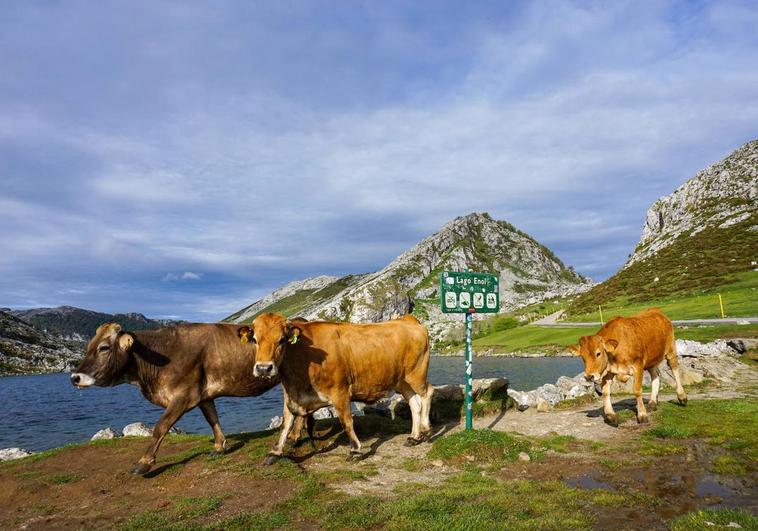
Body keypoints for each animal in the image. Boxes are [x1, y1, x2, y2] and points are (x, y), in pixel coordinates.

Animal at [71, 322, 306, 476]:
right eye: (88, 346)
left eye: (103, 348)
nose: (75, 377)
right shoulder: (203, 394)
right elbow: (212, 418)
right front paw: (219, 447)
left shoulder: (184, 395)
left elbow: (161, 427)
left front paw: (144, 463)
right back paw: (295, 435)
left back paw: (292, 437)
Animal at [238, 314, 434, 464]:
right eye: (255, 339)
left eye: (281, 340)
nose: (264, 368)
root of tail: (408, 319)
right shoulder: (291, 396)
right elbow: (285, 424)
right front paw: (275, 453)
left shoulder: (340, 391)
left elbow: (346, 422)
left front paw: (355, 451)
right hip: (402, 381)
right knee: (414, 404)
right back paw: (414, 437)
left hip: (416, 373)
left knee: (427, 393)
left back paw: (426, 429)